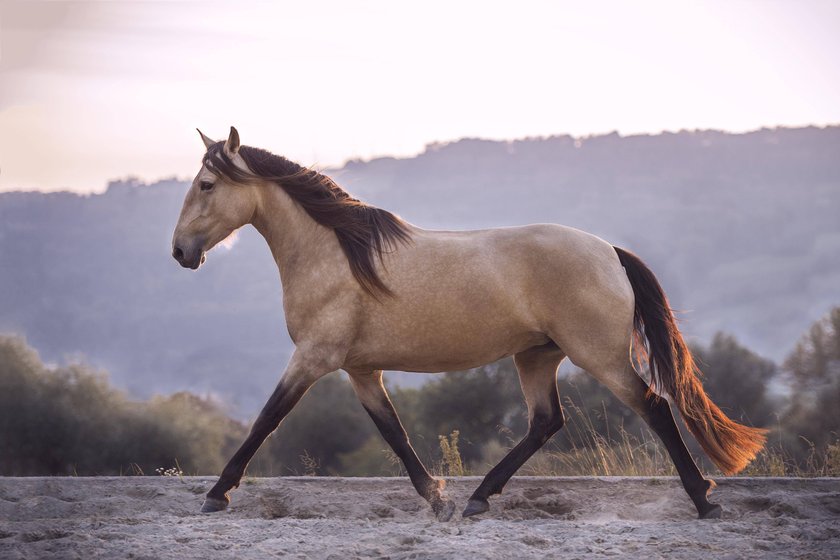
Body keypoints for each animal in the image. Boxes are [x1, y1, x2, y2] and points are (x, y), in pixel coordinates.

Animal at [171, 126, 767, 521]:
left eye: (206, 184)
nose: (180, 252)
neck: (337, 254)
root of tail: (610, 252)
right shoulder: (361, 371)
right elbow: (393, 431)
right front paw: (436, 496)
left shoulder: (313, 358)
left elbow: (266, 419)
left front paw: (218, 493)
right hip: (537, 356)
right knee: (545, 422)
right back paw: (480, 496)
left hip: (598, 356)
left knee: (654, 407)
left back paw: (703, 499)